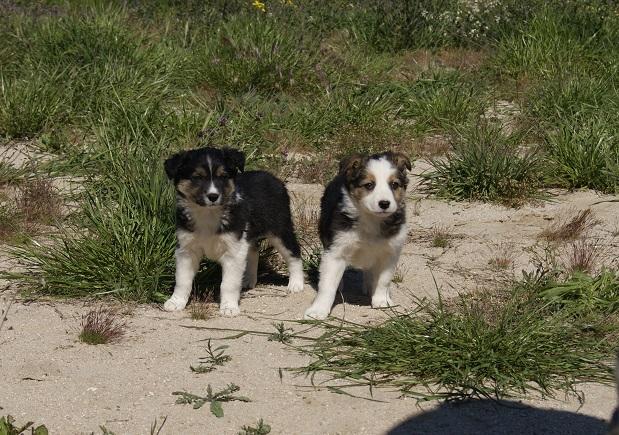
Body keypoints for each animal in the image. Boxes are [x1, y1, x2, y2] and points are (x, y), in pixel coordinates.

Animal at [162, 147, 302, 316]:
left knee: (294, 253)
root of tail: (271, 177)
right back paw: (247, 280)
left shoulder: (233, 251)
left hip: (279, 229)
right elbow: (182, 281)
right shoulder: (186, 249)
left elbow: (228, 284)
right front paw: (176, 302)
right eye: (197, 177)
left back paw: (296, 284)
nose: (213, 196)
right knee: (253, 252)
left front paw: (229, 307)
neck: (208, 214)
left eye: (223, 176)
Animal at [306, 152, 412, 320]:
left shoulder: (390, 253)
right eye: (369, 185)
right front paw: (318, 310)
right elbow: (327, 284)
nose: (384, 203)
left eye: (394, 185)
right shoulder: (335, 250)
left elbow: (383, 280)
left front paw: (381, 301)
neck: (371, 219)